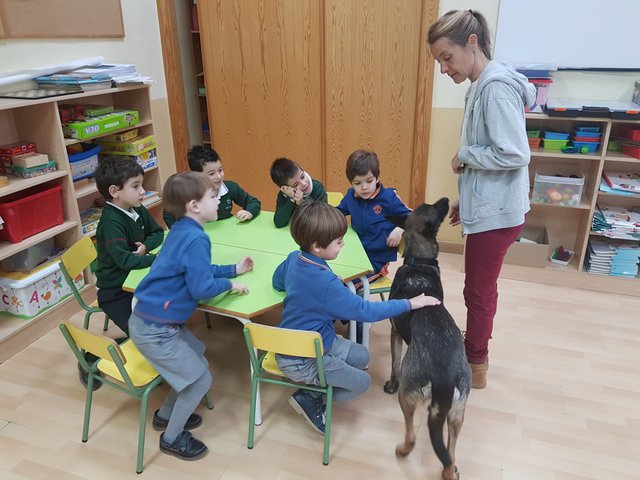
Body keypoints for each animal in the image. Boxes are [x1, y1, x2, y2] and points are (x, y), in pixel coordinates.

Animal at [384, 197, 471, 480]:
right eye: (431, 205)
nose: (446, 200)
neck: (419, 261)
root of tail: (445, 378)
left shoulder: (395, 334)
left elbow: (394, 364)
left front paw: (390, 383)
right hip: (457, 414)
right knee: (449, 456)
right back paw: (449, 471)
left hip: (408, 396)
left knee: (411, 436)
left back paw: (402, 450)